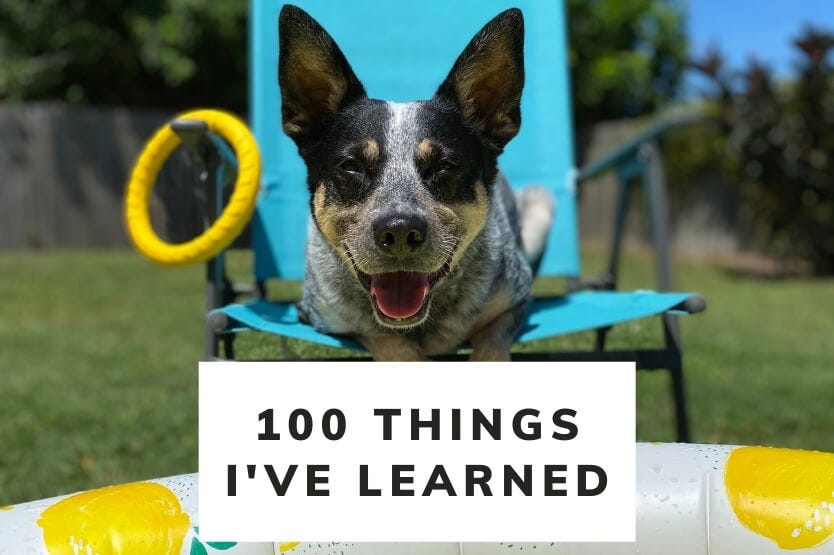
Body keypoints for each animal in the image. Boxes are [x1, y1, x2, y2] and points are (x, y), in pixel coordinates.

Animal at [278, 4, 552, 362]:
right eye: (352, 166)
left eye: (444, 166)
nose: (399, 231)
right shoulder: (323, 316)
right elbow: (387, 341)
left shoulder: (515, 299)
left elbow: (491, 343)